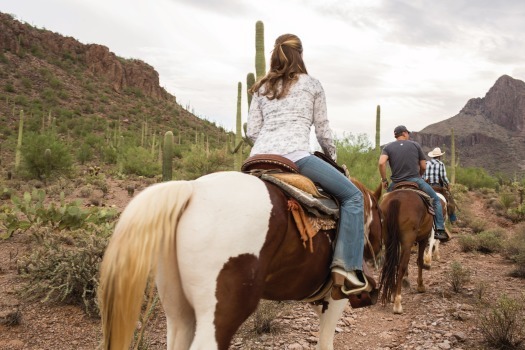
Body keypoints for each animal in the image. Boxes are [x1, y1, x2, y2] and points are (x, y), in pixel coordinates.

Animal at [97, 171, 380, 348]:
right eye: (379, 212)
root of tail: (192, 189)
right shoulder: (336, 300)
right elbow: (325, 342)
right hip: (222, 313)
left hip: (177, 310)